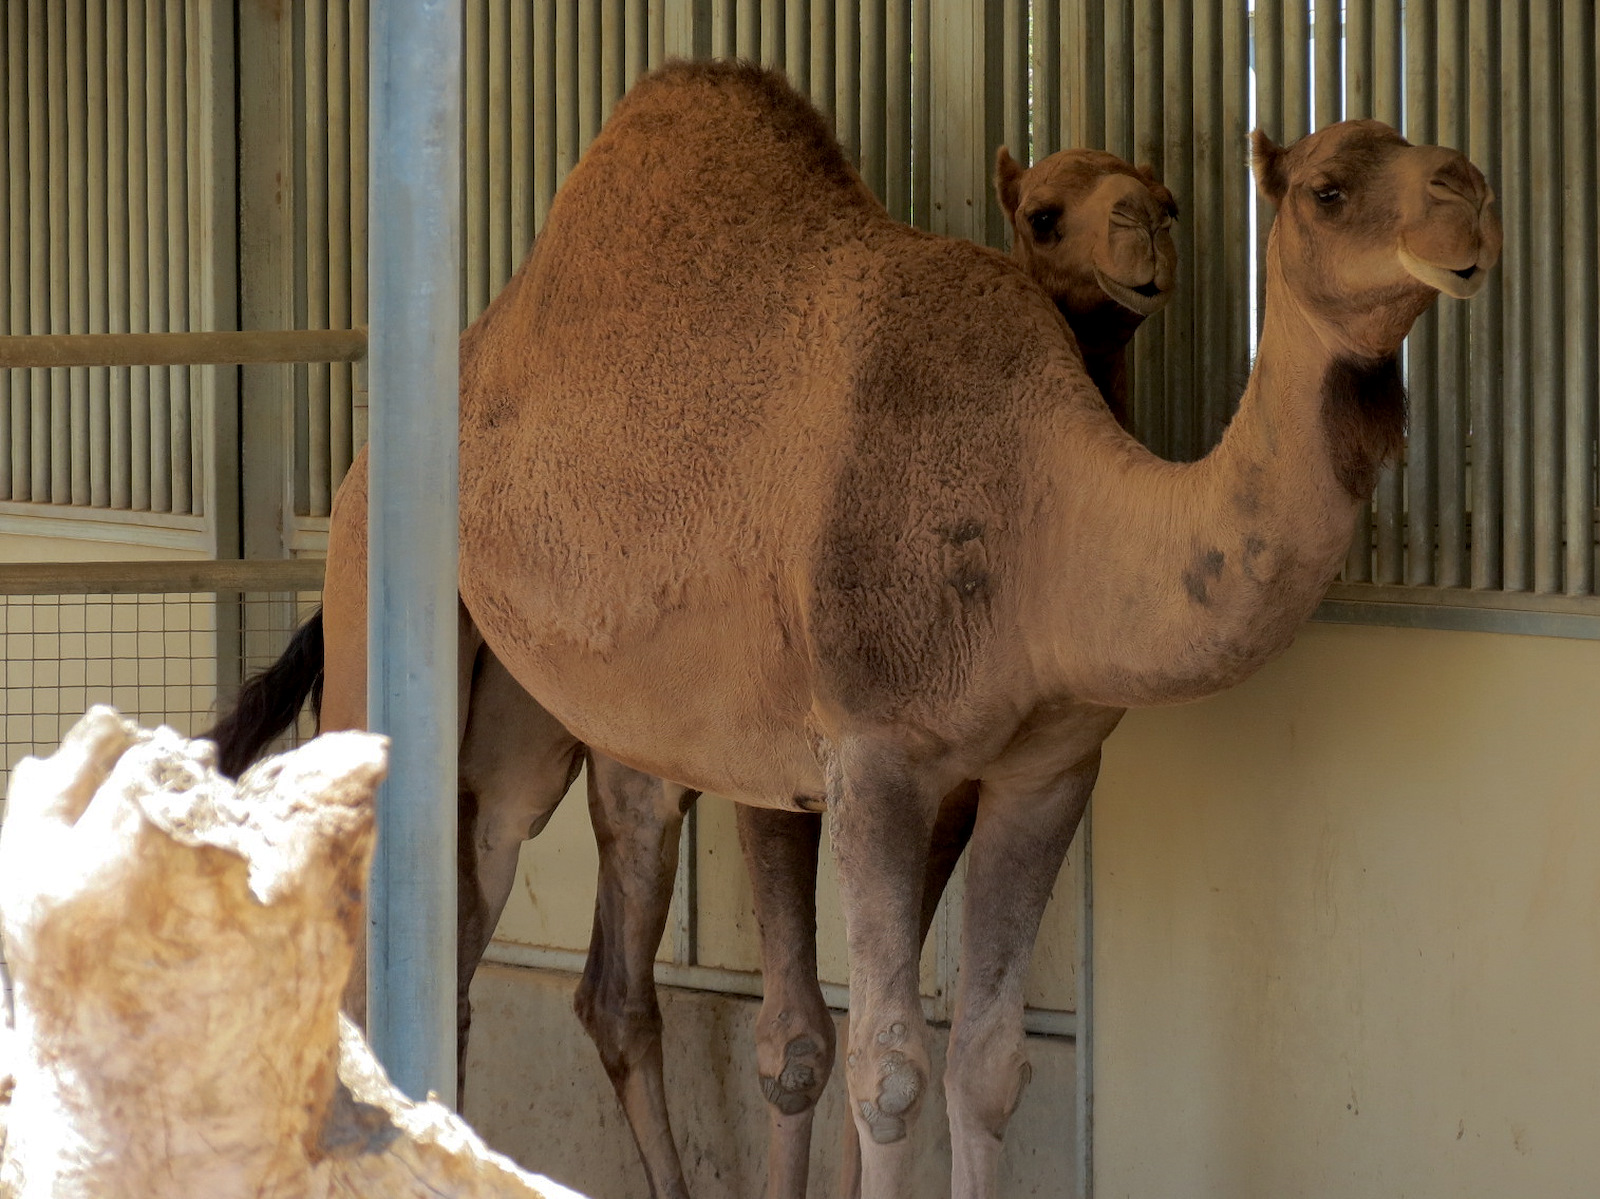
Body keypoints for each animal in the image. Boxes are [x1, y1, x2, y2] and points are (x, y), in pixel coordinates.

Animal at [208, 61, 1498, 1199]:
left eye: (1179, 202)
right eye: (1326, 187)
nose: (1470, 188)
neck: (1043, 524)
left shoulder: (1045, 770)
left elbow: (988, 1065)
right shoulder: (872, 755)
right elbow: (881, 1070)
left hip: (528, 717)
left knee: (474, 910)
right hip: (381, 612)